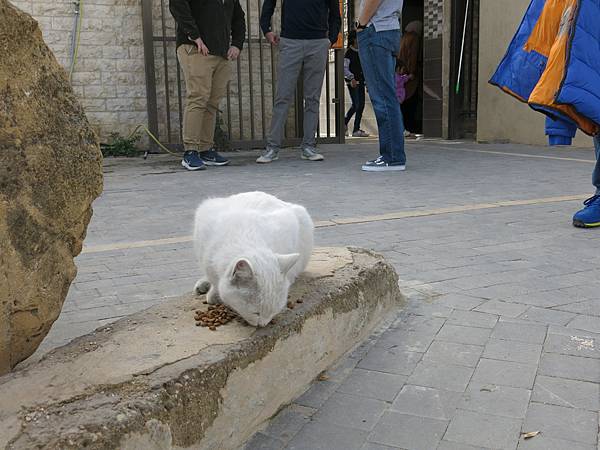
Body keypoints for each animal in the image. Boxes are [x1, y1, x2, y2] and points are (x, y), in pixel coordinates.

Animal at [192, 191, 314, 326]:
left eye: (274, 311)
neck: (244, 235)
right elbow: (213, 278)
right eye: (256, 313)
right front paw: (213, 294)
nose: (263, 324)